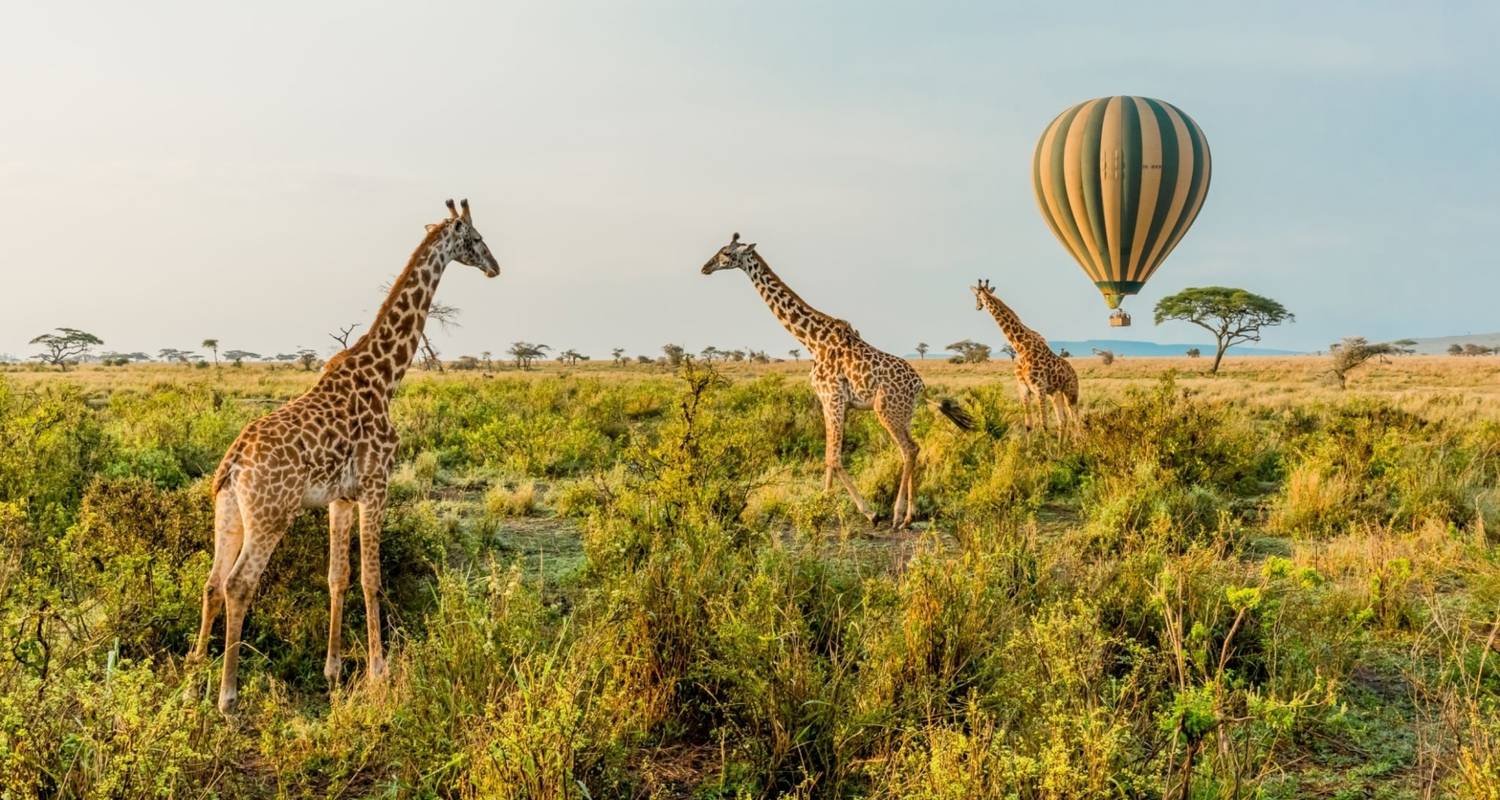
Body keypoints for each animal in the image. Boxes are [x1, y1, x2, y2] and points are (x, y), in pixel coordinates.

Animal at [187, 199, 501, 711]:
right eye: (474, 239)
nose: (495, 266)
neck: (386, 377)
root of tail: (233, 464)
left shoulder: (340, 497)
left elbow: (338, 576)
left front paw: (333, 671)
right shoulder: (377, 484)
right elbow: (372, 579)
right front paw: (379, 673)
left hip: (229, 511)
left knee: (213, 582)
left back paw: (195, 672)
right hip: (271, 516)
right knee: (238, 585)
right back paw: (228, 699)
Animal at [702, 232, 972, 531]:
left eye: (726, 253)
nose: (705, 267)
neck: (811, 340)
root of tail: (920, 386)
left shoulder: (833, 398)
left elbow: (834, 457)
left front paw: (868, 512)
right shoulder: (827, 400)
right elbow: (828, 457)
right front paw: (823, 502)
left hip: (886, 409)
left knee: (909, 449)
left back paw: (897, 515)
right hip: (905, 413)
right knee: (914, 448)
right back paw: (910, 516)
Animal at [972, 277, 1080, 432]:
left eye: (976, 296)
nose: (977, 307)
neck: (1021, 347)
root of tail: (1074, 373)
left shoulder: (1039, 388)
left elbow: (1044, 424)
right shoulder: (1024, 389)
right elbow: (1028, 425)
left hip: (1071, 392)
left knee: (1076, 419)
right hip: (1056, 394)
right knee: (1063, 421)